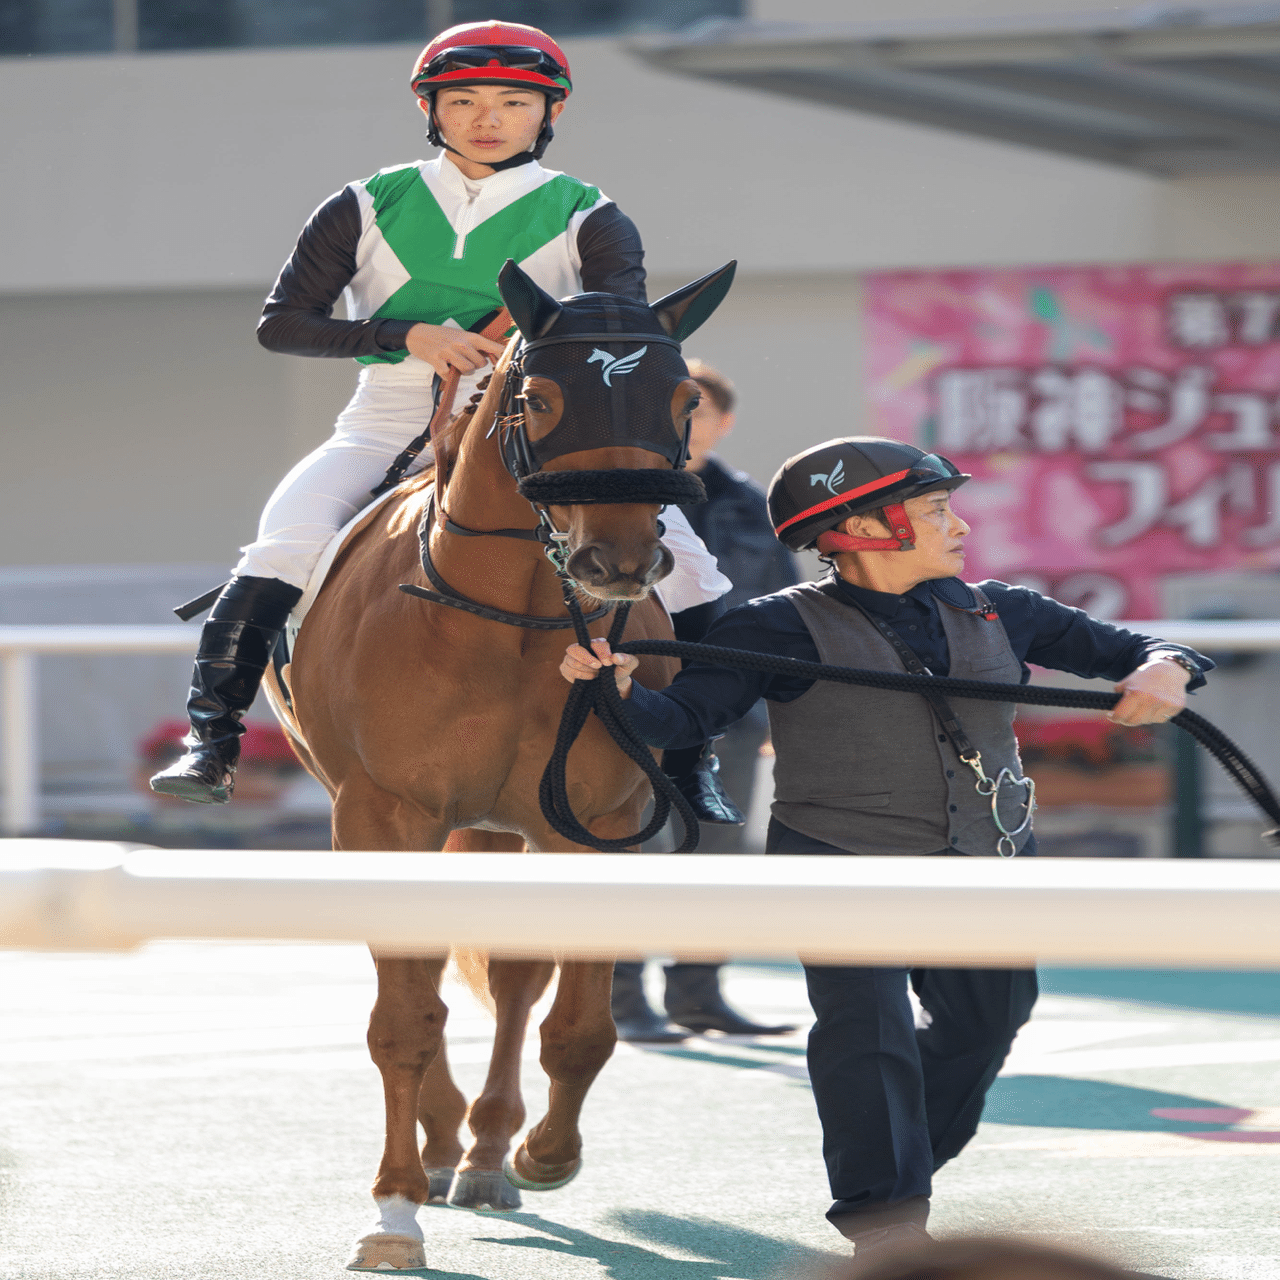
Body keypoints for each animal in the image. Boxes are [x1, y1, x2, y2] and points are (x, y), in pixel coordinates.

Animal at [265, 258, 735, 1271]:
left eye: (681, 397)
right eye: (546, 398)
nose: (619, 558)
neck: (512, 618)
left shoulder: (595, 822)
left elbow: (579, 1025)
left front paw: (543, 1152)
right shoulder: (381, 817)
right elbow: (403, 1019)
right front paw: (393, 1210)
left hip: (501, 826)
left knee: (513, 979)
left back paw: (481, 1149)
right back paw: (443, 1144)